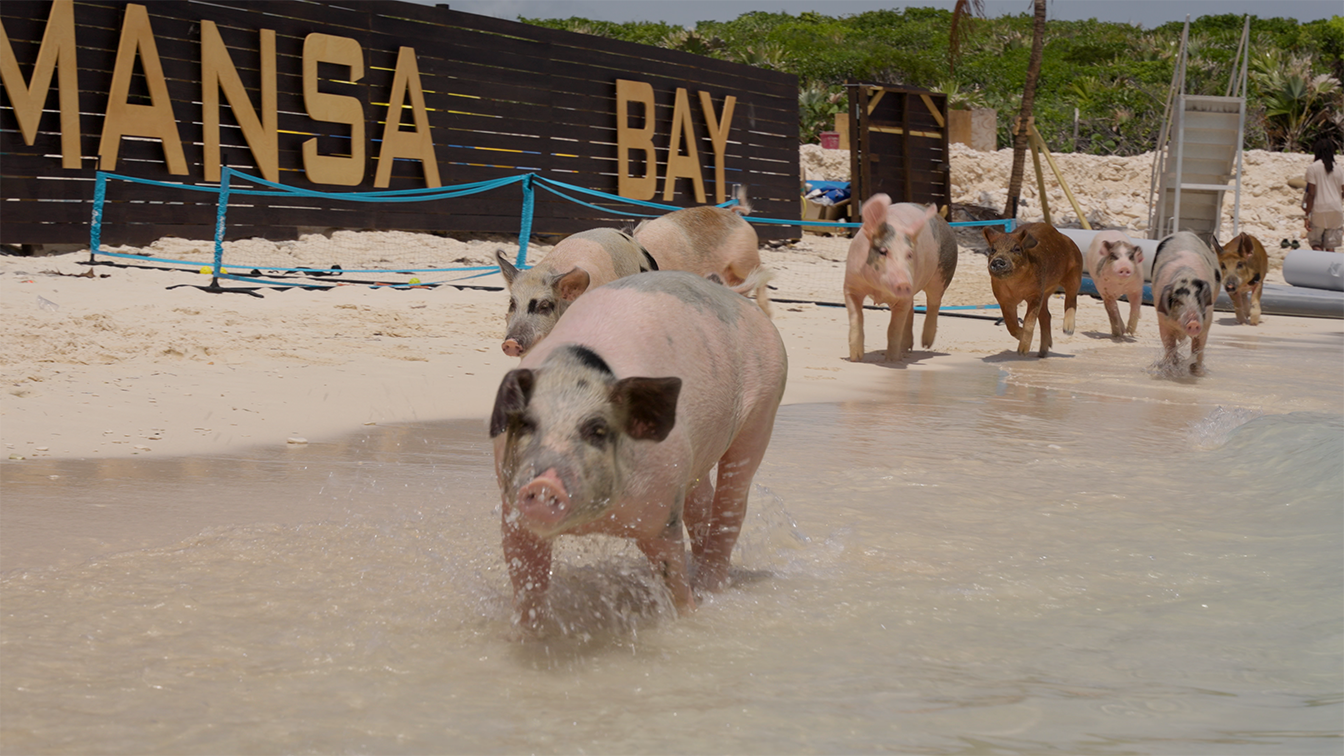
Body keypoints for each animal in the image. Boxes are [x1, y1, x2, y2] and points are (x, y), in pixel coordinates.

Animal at [489, 270, 788, 628]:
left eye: (597, 430)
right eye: (527, 424)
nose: (544, 484)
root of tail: (738, 297)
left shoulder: (662, 509)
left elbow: (673, 579)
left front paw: (690, 616)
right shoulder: (512, 514)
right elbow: (528, 585)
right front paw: (529, 632)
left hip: (765, 406)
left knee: (732, 503)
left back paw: (710, 587)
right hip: (696, 458)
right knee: (700, 503)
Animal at [843, 193, 957, 362]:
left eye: (909, 254)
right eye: (883, 251)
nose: (904, 283)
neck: (879, 290)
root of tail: (942, 219)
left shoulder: (903, 298)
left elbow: (893, 329)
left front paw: (892, 360)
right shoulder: (851, 286)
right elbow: (856, 319)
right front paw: (855, 358)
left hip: (943, 272)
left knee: (934, 302)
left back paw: (926, 345)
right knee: (912, 309)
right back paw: (906, 349)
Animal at [980, 222, 1083, 357]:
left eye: (1016, 249)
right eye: (993, 250)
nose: (998, 260)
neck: (1015, 285)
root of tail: (1068, 240)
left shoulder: (1035, 294)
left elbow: (1029, 321)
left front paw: (1022, 352)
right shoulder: (1004, 299)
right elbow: (1010, 324)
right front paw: (1021, 339)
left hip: (1075, 273)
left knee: (1071, 299)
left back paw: (1068, 330)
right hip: (1045, 291)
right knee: (1046, 315)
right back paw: (1042, 353)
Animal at [1150, 231, 1221, 375]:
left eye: (1199, 298)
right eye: (1177, 300)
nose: (1193, 322)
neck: (1186, 275)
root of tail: (1184, 232)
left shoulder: (1206, 323)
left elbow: (1198, 349)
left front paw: (1197, 373)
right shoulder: (1163, 321)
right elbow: (1169, 345)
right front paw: (1171, 370)